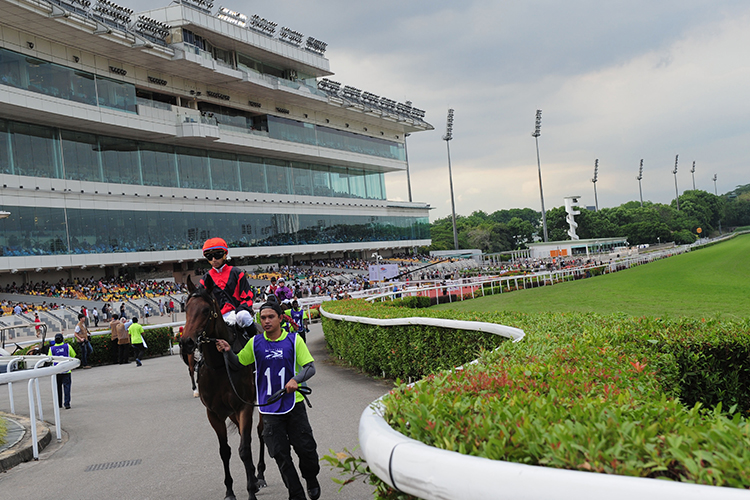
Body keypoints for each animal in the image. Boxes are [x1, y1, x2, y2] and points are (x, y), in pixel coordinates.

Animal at [181, 278, 266, 500]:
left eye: (205, 310)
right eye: (186, 308)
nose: (186, 342)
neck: (221, 365)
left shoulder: (244, 407)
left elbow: (244, 448)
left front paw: (251, 490)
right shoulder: (214, 413)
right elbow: (225, 451)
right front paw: (230, 491)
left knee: (261, 432)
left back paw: (260, 476)